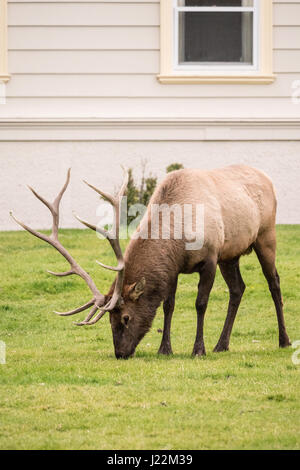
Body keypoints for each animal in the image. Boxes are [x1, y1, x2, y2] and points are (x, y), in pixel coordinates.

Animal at [11, 163, 290, 358]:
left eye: (125, 318)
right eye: (109, 320)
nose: (120, 353)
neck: (178, 238)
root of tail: (267, 178)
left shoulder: (210, 257)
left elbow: (200, 304)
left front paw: (198, 349)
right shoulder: (175, 268)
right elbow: (168, 305)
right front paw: (164, 349)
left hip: (266, 235)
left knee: (274, 283)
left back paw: (283, 340)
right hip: (230, 254)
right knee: (238, 289)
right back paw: (222, 345)